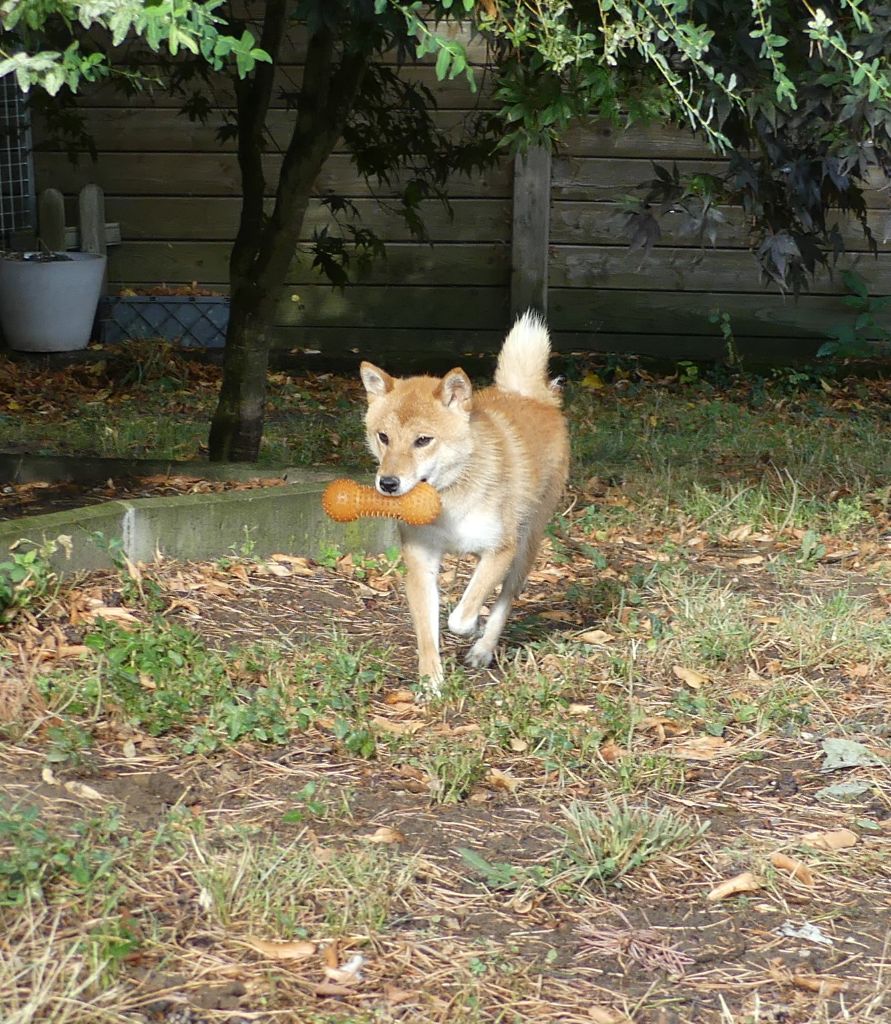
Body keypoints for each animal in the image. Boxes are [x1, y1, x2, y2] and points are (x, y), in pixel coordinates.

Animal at [358, 311, 569, 692]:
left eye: (423, 440)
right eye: (383, 437)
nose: (388, 483)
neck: (448, 499)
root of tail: (530, 396)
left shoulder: (501, 549)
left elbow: (461, 615)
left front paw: (469, 630)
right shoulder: (421, 562)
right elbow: (427, 632)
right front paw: (431, 682)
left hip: (525, 547)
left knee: (504, 601)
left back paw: (482, 649)